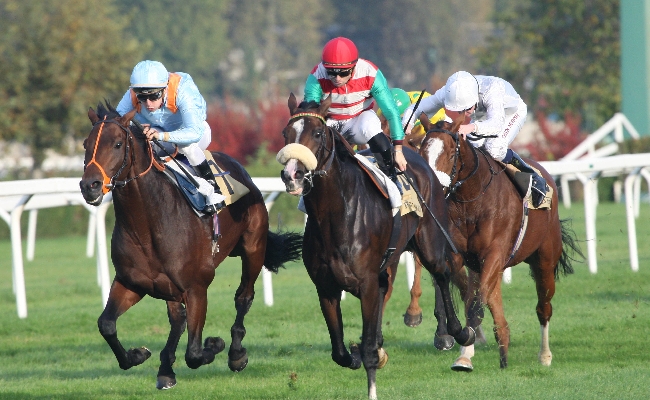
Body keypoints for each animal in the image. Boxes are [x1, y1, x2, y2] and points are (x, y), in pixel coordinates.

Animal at [78, 101, 302, 390]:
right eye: (86, 144)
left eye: (117, 144)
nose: (90, 186)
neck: (148, 224)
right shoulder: (132, 282)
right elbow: (106, 324)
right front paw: (138, 354)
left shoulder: (196, 287)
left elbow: (194, 353)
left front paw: (215, 344)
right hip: (168, 286)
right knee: (177, 319)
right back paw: (166, 368)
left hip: (253, 247)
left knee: (243, 297)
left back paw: (236, 354)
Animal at [276, 94, 474, 400]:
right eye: (286, 134)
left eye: (318, 133)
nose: (292, 174)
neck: (335, 215)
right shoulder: (326, 287)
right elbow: (340, 353)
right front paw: (361, 353)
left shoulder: (366, 282)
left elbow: (368, 349)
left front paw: (372, 375)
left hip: (429, 240)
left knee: (442, 273)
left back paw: (457, 332)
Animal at [418, 115, 580, 372]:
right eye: (422, 152)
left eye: (451, 154)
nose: (432, 190)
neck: (471, 200)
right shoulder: (462, 256)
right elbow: (464, 297)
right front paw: (456, 344)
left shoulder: (494, 254)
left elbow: (476, 306)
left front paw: (465, 345)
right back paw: (497, 349)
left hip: (544, 260)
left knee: (543, 308)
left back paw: (544, 355)